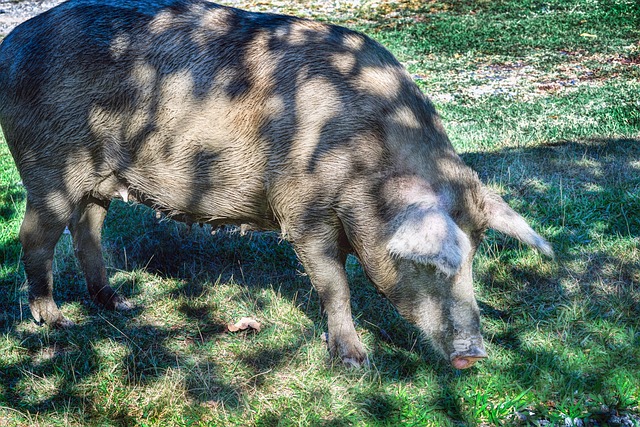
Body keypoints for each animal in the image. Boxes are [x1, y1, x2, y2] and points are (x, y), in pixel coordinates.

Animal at [0, 0, 552, 370]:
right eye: (427, 263)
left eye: (474, 257)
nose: (473, 355)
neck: (367, 163)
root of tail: (11, 43)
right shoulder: (301, 212)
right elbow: (334, 284)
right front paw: (354, 362)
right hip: (47, 167)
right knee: (36, 236)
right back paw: (57, 321)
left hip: (100, 179)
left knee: (87, 229)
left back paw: (120, 303)